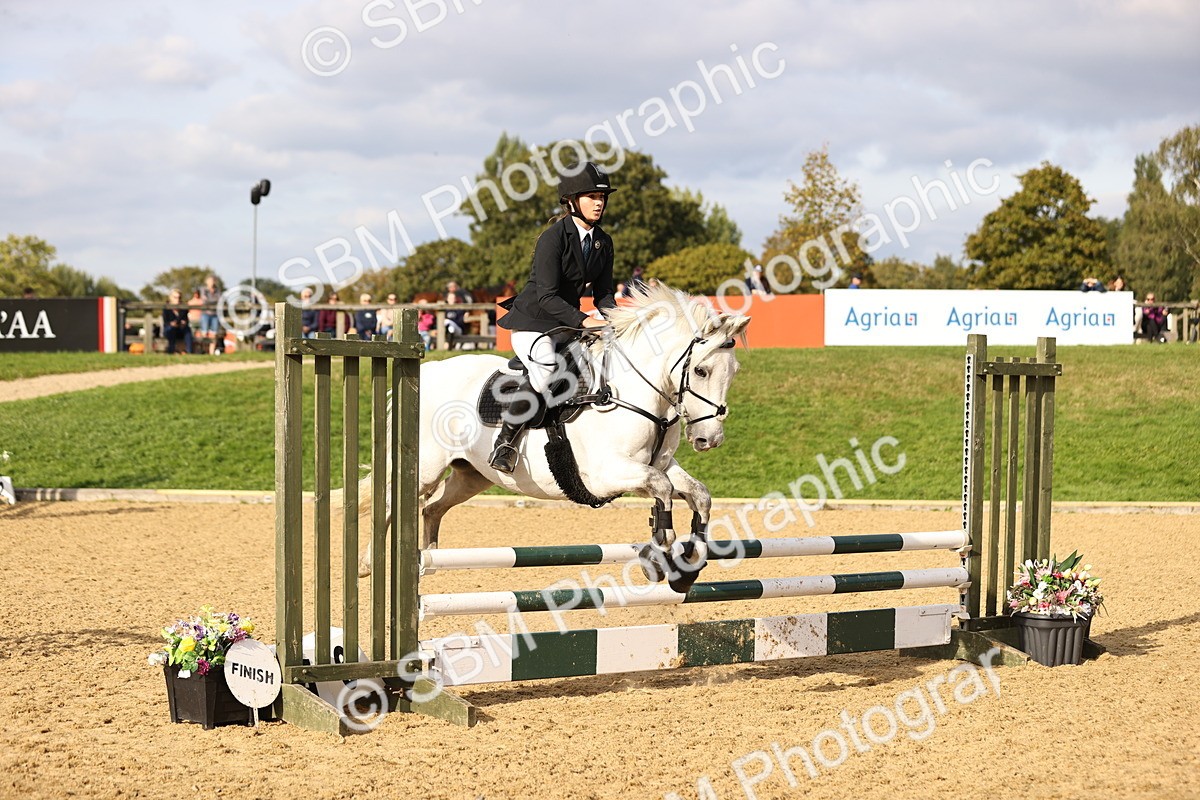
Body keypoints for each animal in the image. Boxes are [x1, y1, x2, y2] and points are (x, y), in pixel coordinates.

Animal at [358, 282, 750, 592]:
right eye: (701, 371)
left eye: (734, 371)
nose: (709, 439)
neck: (633, 393)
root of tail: (429, 369)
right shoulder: (607, 475)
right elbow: (663, 490)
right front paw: (659, 555)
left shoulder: (659, 466)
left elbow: (698, 495)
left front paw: (688, 565)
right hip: (424, 469)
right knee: (392, 504)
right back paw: (367, 564)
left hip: (472, 476)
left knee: (432, 507)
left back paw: (428, 561)